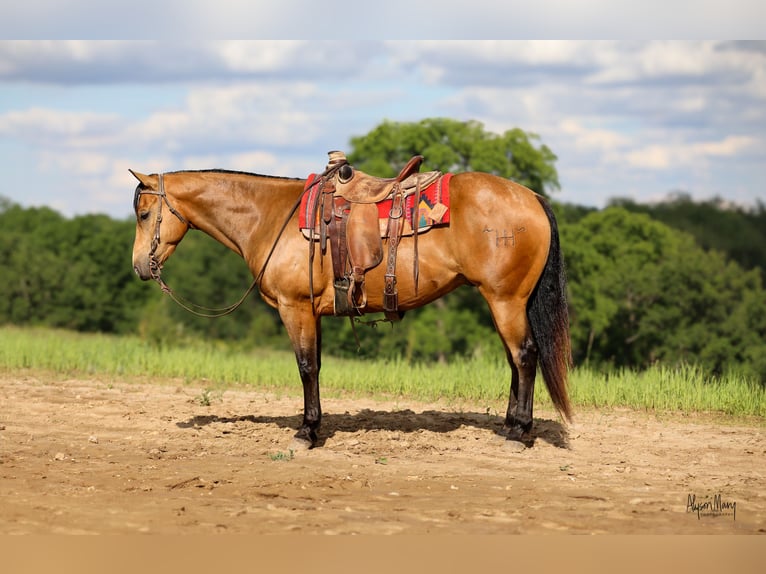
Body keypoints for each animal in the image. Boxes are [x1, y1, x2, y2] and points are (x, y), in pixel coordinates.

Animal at [132, 156, 572, 450]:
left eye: (144, 213)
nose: (139, 267)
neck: (270, 217)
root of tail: (532, 197)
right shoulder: (313, 312)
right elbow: (316, 366)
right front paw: (314, 426)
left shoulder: (295, 308)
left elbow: (306, 367)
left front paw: (306, 433)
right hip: (504, 302)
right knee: (516, 361)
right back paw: (510, 426)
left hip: (505, 300)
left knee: (525, 356)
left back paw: (519, 433)